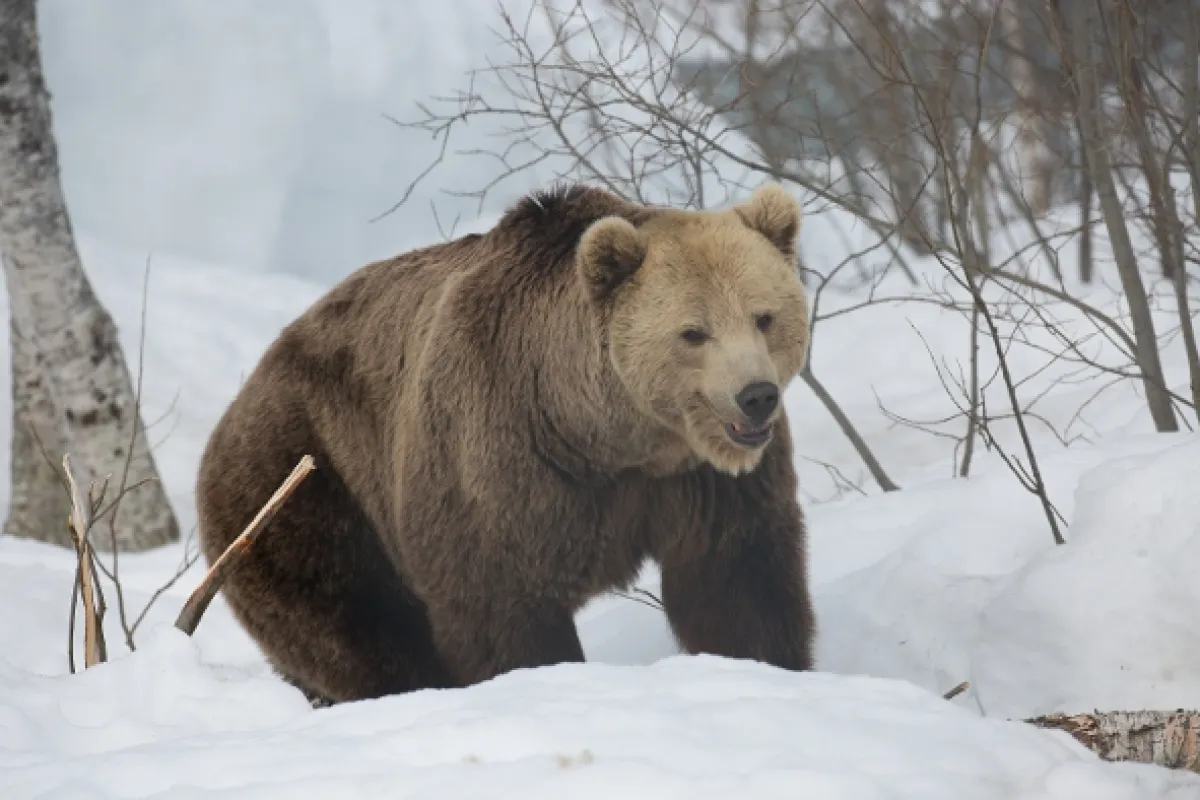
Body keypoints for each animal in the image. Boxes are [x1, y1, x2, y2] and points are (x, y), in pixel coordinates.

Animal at [196, 182, 816, 705]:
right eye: (693, 332)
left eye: (764, 317)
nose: (755, 396)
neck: (607, 438)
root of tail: (232, 409)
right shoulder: (501, 457)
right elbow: (500, 600)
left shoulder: (701, 483)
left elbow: (737, 581)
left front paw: (764, 666)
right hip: (309, 488)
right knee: (359, 627)